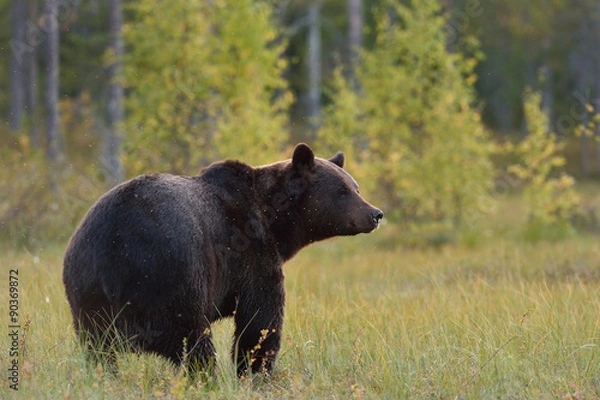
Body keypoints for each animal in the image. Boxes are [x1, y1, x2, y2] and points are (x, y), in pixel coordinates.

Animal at [64, 143, 384, 376]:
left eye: (355, 186)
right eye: (343, 191)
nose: (375, 213)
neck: (275, 221)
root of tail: (115, 248)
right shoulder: (251, 251)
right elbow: (261, 318)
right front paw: (256, 370)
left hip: (87, 292)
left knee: (98, 349)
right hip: (172, 272)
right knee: (193, 340)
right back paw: (206, 377)